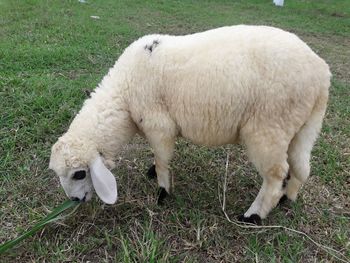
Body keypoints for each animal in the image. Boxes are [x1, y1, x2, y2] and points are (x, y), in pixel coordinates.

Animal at [49, 25, 330, 226]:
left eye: (79, 174)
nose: (74, 199)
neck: (124, 93)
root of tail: (322, 73)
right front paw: (152, 172)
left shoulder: (159, 125)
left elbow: (162, 159)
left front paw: (162, 192)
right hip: (303, 126)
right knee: (301, 167)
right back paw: (287, 198)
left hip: (268, 127)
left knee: (275, 175)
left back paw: (253, 216)